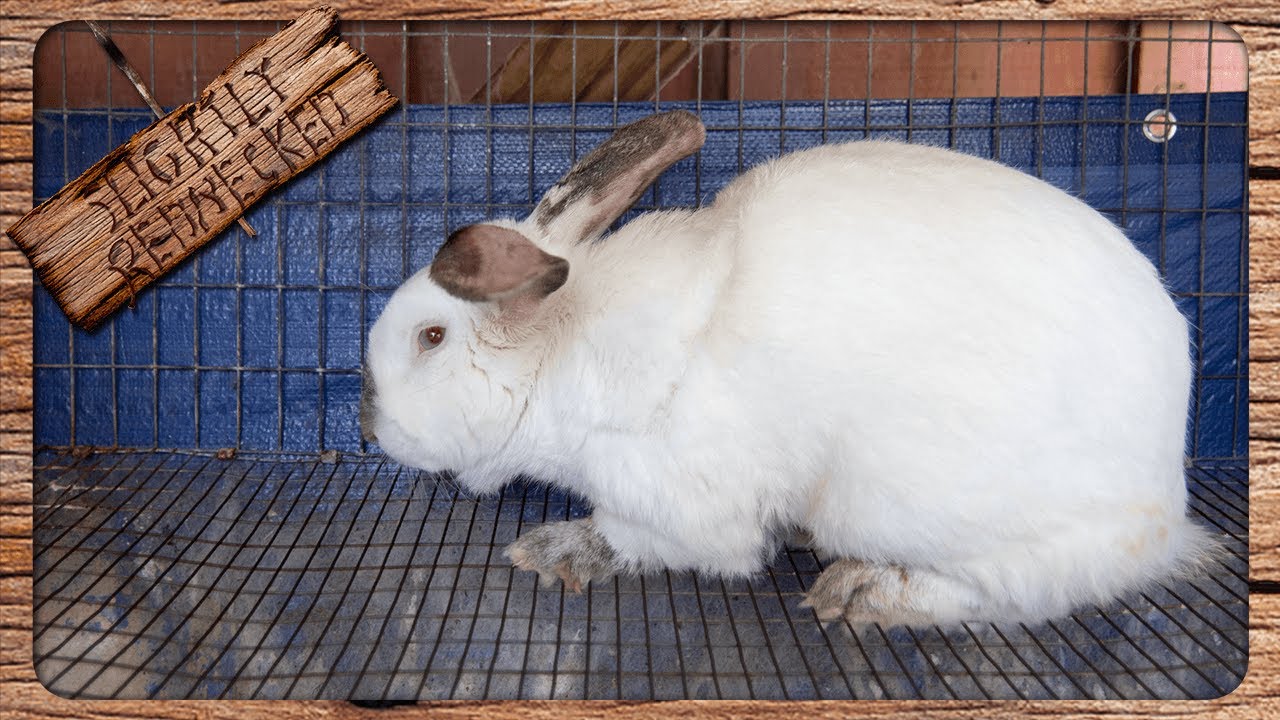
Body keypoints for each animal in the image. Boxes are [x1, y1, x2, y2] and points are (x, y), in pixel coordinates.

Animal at [361, 109, 1223, 629]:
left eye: (430, 337)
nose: (368, 425)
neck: (561, 348)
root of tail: (1162, 501)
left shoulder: (681, 502)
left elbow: (638, 538)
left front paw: (557, 550)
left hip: (899, 506)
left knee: (1013, 589)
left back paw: (868, 591)